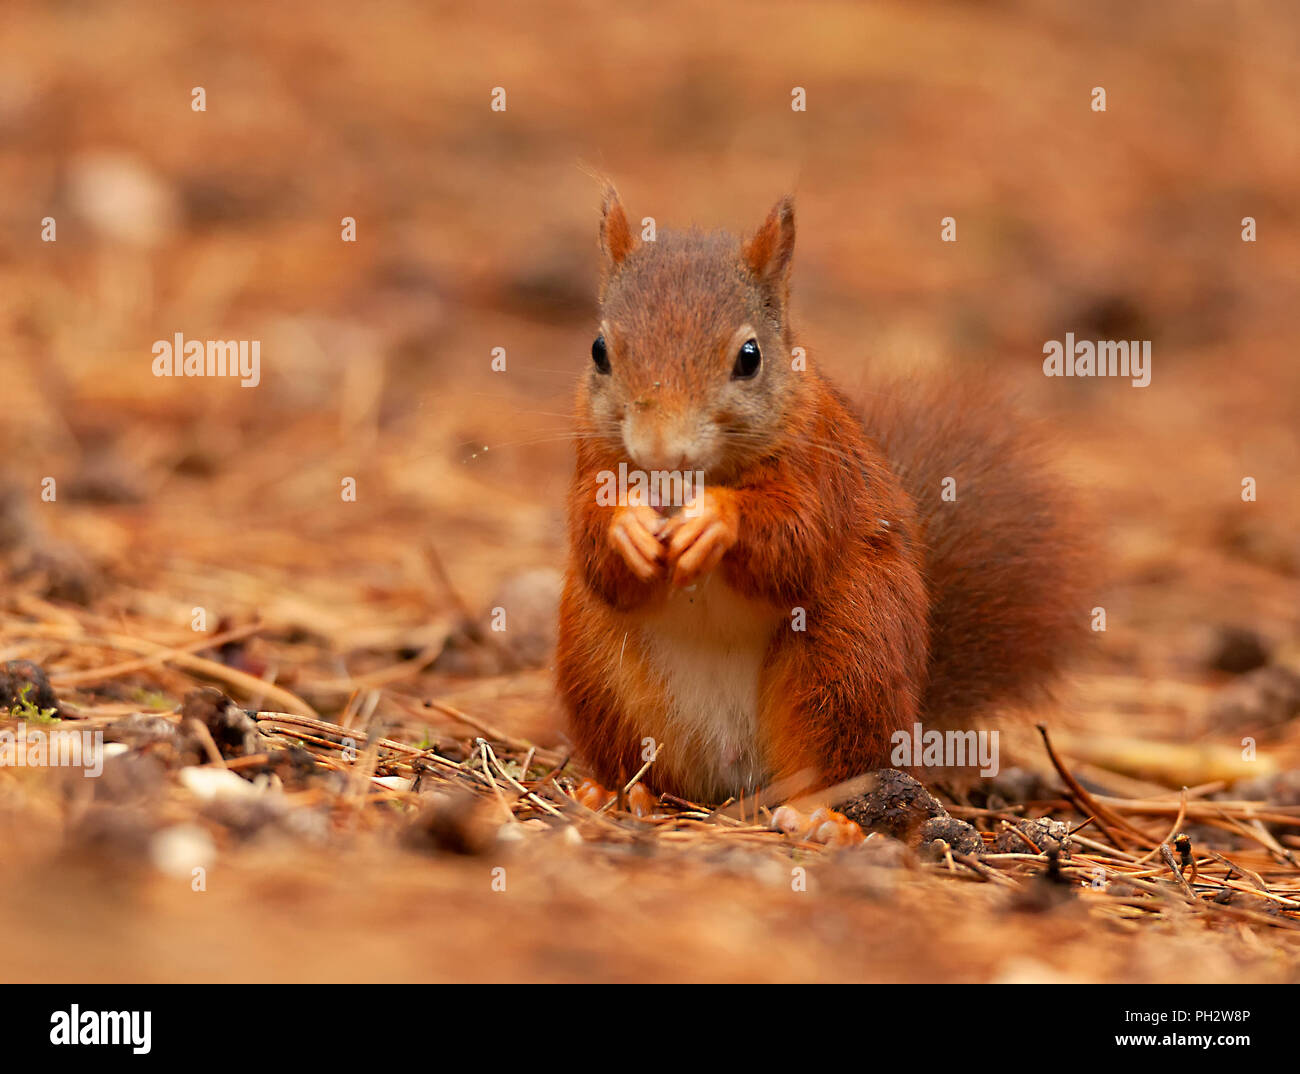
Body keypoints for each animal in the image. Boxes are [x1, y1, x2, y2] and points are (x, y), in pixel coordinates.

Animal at [553, 188, 1092, 832]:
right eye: (598, 351)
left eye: (750, 357)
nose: (661, 451)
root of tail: (733, 781)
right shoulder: (589, 461)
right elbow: (592, 545)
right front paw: (627, 525)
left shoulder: (818, 468)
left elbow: (797, 539)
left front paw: (718, 519)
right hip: (597, 667)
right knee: (642, 759)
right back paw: (619, 794)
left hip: (851, 649)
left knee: (835, 760)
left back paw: (820, 818)